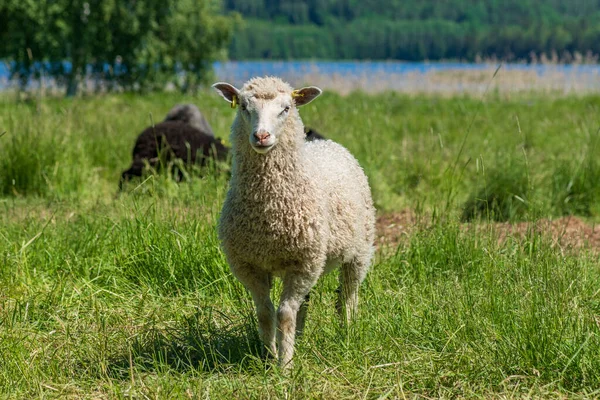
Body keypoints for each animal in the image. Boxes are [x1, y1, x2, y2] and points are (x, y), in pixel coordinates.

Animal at [210, 76, 370, 368]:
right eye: (244, 107)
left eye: (286, 109)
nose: (261, 136)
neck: (269, 213)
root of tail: (326, 143)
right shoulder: (249, 264)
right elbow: (265, 312)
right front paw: (268, 357)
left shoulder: (302, 263)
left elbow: (284, 314)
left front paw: (285, 366)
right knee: (304, 302)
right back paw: (300, 338)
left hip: (359, 250)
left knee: (349, 295)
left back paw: (348, 332)